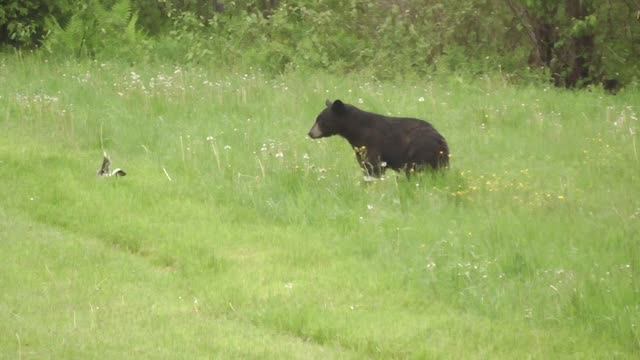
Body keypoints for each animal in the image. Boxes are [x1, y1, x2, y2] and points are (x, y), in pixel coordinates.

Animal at [310, 99, 450, 176]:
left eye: (320, 121)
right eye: (317, 119)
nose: (310, 133)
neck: (356, 130)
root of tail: (440, 139)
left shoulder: (371, 143)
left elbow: (372, 167)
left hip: (418, 152)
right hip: (438, 158)